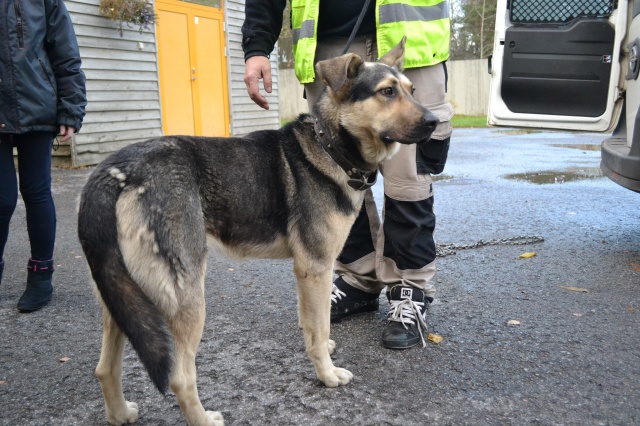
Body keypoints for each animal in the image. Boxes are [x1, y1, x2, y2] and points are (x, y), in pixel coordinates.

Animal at [77, 37, 438, 425]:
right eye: (387, 92)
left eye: (411, 90)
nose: (434, 122)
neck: (330, 145)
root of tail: (114, 171)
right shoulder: (316, 267)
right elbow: (320, 325)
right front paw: (327, 374)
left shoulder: (306, 272)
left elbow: (311, 323)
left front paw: (321, 352)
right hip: (186, 296)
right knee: (179, 378)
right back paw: (204, 419)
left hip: (119, 295)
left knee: (103, 368)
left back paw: (119, 413)